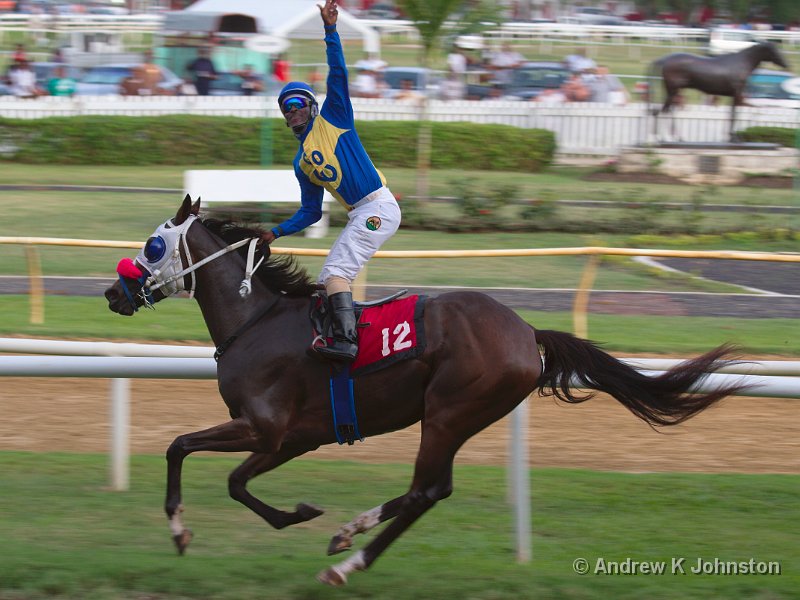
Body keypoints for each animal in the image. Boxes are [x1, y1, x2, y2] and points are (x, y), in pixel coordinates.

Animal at [103, 197, 748, 584]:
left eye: (154, 244)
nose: (114, 293)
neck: (255, 321)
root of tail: (526, 332)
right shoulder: (291, 438)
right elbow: (230, 478)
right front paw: (299, 515)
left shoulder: (264, 426)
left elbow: (184, 449)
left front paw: (183, 530)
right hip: (456, 417)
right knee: (433, 490)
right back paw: (349, 533)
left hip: (447, 412)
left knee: (425, 490)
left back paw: (350, 559)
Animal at [648, 41, 788, 141]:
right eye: (773, 50)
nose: (786, 64)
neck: (742, 63)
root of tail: (665, 60)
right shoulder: (738, 94)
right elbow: (735, 115)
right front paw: (734, 137)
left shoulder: (735, 96)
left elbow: (733, 114)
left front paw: (730, 136)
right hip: (673, 90)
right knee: (665, 111)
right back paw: (665, 137)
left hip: (673, 91)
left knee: (665, 110)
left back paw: (673, 137)